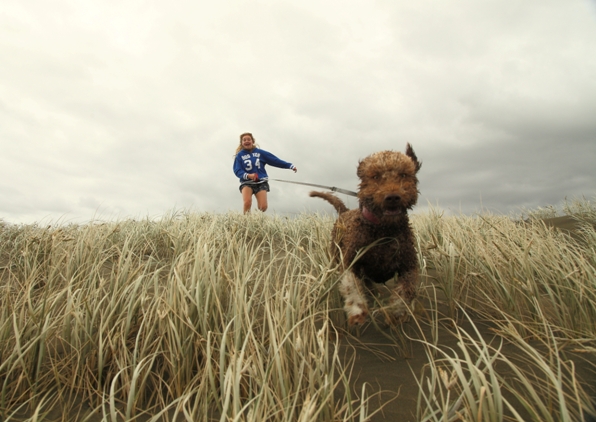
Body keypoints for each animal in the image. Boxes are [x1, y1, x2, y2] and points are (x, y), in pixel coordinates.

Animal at [310, 145, 422, 326]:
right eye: (375, 176)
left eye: (404, 174)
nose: (392, 197)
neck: (383, 232)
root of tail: (344, 211)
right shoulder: (350, 261)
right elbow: (351, 285)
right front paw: (357, 311)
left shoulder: (409, 264)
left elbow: (406, 290)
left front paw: (396, 312)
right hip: (335, 255)